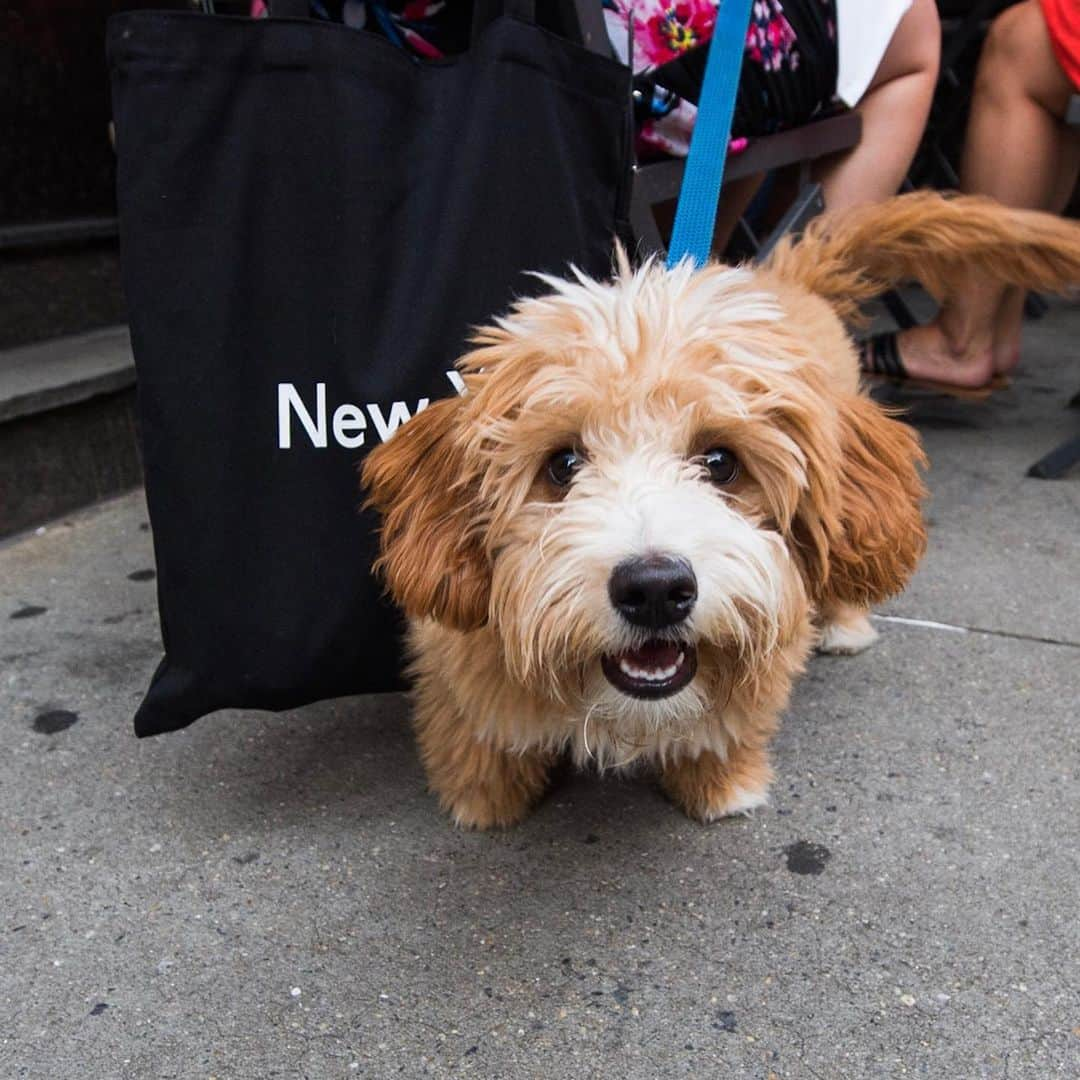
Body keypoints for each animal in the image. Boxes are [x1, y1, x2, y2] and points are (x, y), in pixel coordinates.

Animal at [365, 192, 1080, 825]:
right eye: (563, 465)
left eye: (720, 462)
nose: (655, 589)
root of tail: (784, 280)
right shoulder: (456, 663)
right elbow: (475, 736)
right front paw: (483, 801)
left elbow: (728, 726)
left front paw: (722, 786)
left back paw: (846, 623)